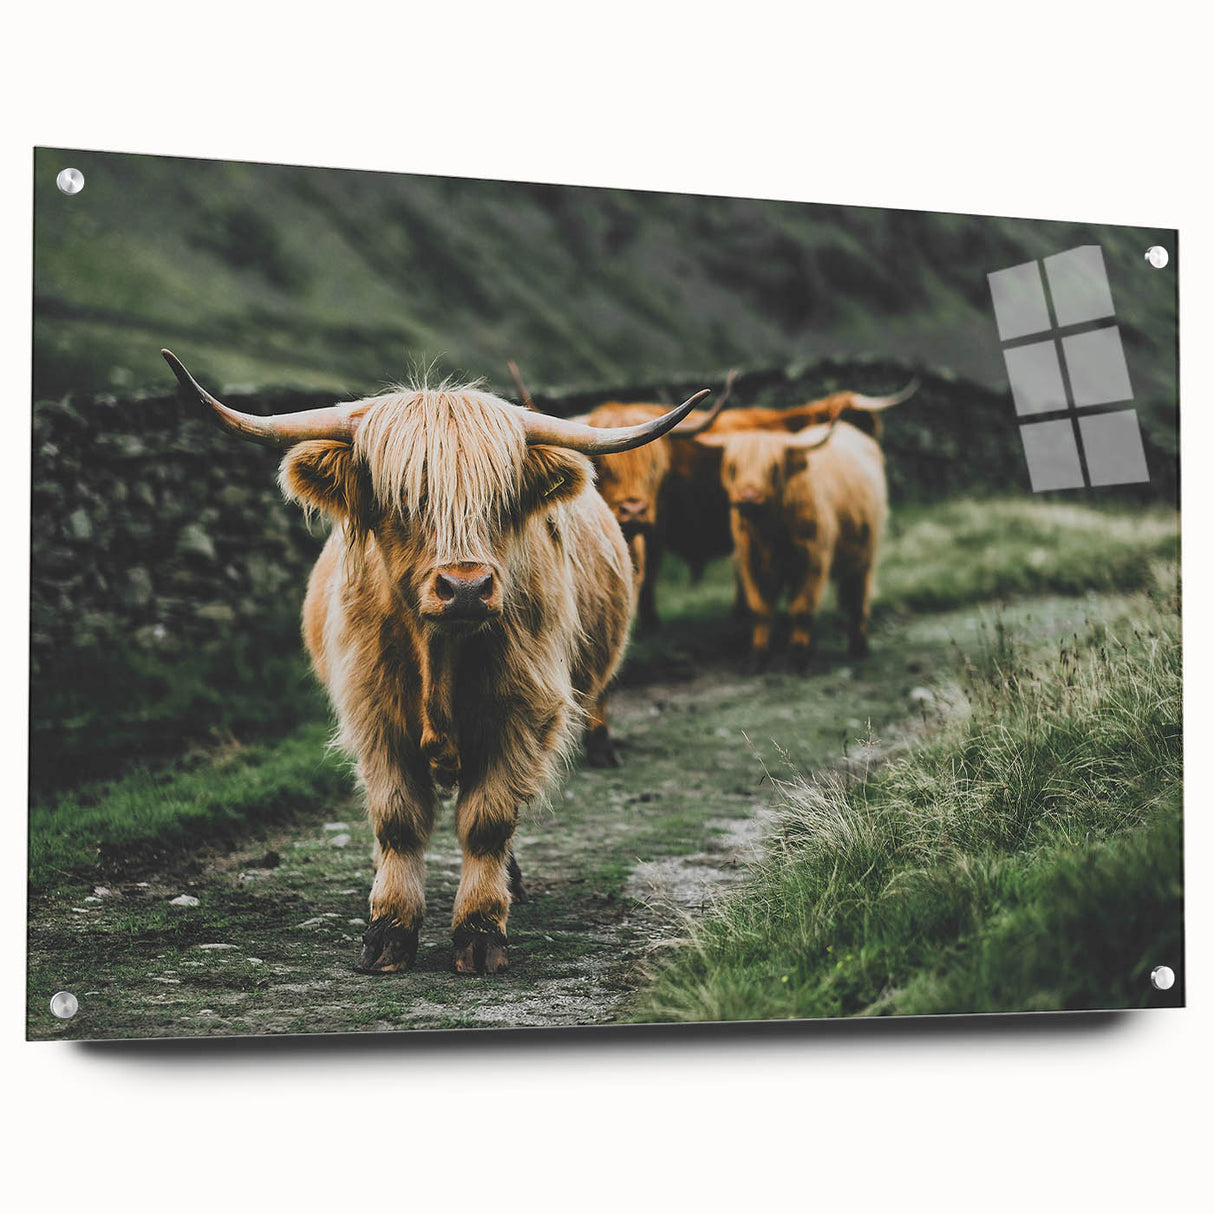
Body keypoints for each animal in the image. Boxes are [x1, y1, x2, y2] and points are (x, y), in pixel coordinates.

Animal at [161, 349, 708, 975]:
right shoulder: (373, 716)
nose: (466, 587)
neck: (440, 658)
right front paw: (388, 931)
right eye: (403, 499)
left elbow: (488, 821)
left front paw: (480, 931)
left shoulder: (524, 716)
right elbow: (397, 821)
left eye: (502, 500)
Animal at [694, 418, 889, 670]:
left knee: (857, 598)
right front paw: (759, 657)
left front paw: (798, 658)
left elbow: (802, 608)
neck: (769, 531)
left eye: (774, 468)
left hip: (866, 553)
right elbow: (760, 608)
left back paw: (858, 646)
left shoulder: (814, 560)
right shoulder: (750, 562)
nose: (748, 496)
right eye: (733, 466)